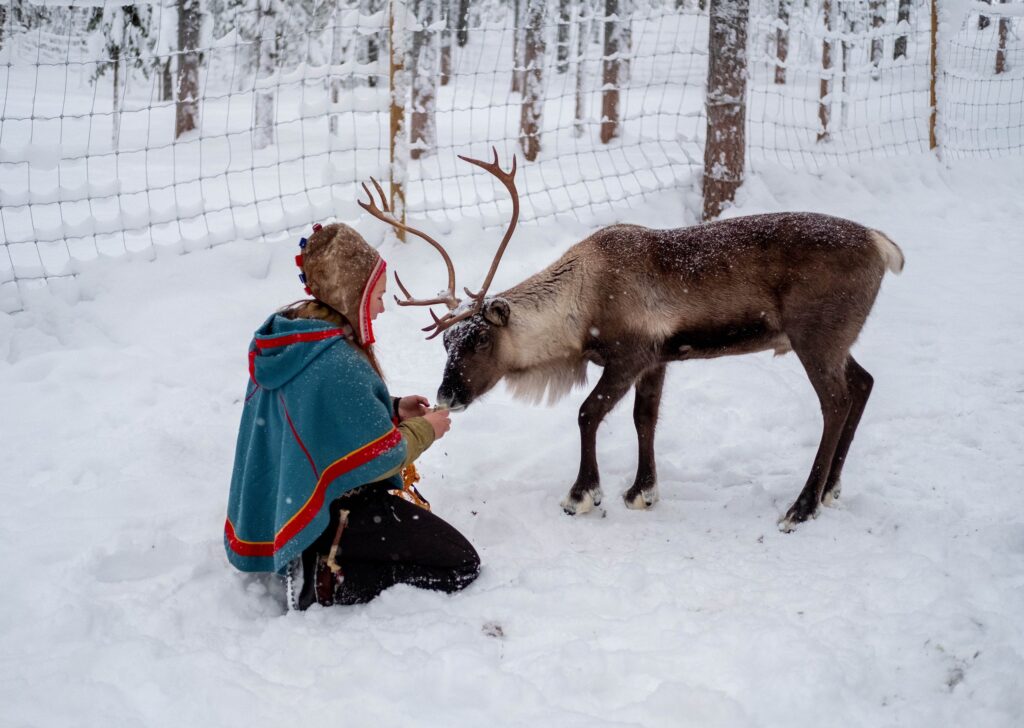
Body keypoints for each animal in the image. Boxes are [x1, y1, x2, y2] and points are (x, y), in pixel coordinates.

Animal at [359, 149, 904, 531]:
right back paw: (831, 490)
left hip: (815, 336)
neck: (580, 305)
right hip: (836, 341)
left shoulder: (629, 356)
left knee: (835, 401)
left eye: (477, 341)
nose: (446, 395)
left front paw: (582, 494)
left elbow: (587, 414)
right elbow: (646, 419)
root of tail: (884, 246)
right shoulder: (658, 359)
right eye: (446, 343)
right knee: (864, 383)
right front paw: (642, 490)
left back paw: (802, 506)